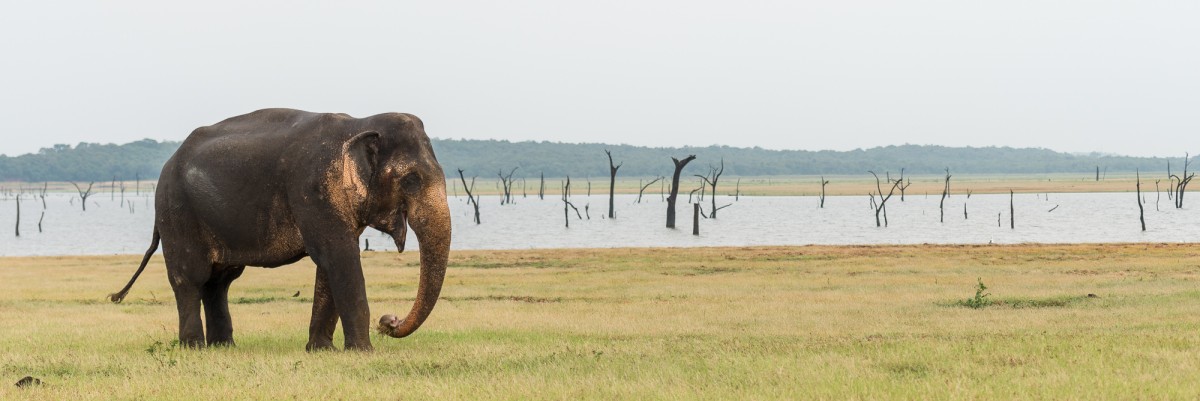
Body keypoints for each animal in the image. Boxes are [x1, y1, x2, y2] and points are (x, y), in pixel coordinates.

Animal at [108, 107, 451, 350]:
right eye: (411, 180)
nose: (389, 321)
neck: (358, 123)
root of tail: (168, 163)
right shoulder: (312, 188)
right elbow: (339, 257)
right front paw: (362, 352)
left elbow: (330, 265)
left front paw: (321, 350)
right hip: (176, 212)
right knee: (190, 278)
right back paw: (194, 348)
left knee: (219, 281)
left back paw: (224, 347)